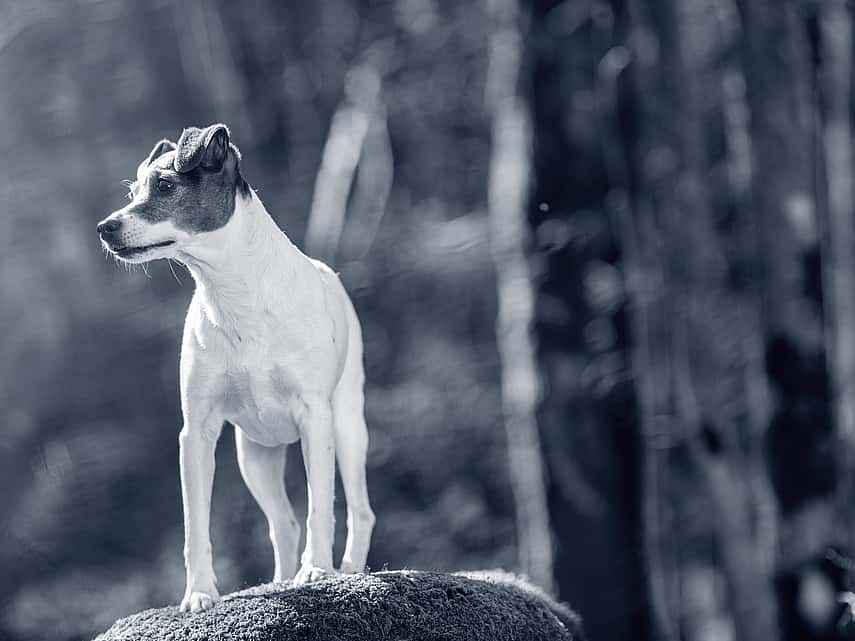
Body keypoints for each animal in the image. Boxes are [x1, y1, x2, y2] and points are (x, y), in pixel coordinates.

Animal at [97, 124, 375, 613]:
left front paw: (316, 570)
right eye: (133, 192)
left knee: (359, 510)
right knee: (282, 523)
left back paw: (348, 568)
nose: (104, 227)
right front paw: (199, 593)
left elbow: (320, 507)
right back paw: (279, 581)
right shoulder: (196, 433)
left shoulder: (316, 419)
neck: (232, 292)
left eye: (164, 185)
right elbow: (196, 526)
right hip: (255, 456)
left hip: (346, 428)